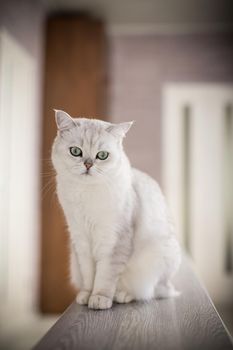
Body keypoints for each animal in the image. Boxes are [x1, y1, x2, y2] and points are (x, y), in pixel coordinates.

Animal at [52, 109, 181, 308]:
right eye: (75, 151)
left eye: (102, 155)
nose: (88, 164)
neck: (87, 193)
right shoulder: (81, 240)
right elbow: (89, 275)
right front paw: (86, 296)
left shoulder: (114, 239)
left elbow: (105, 276)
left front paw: (99, 298)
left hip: (159, 261)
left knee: (151, 291)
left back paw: (122, 295)